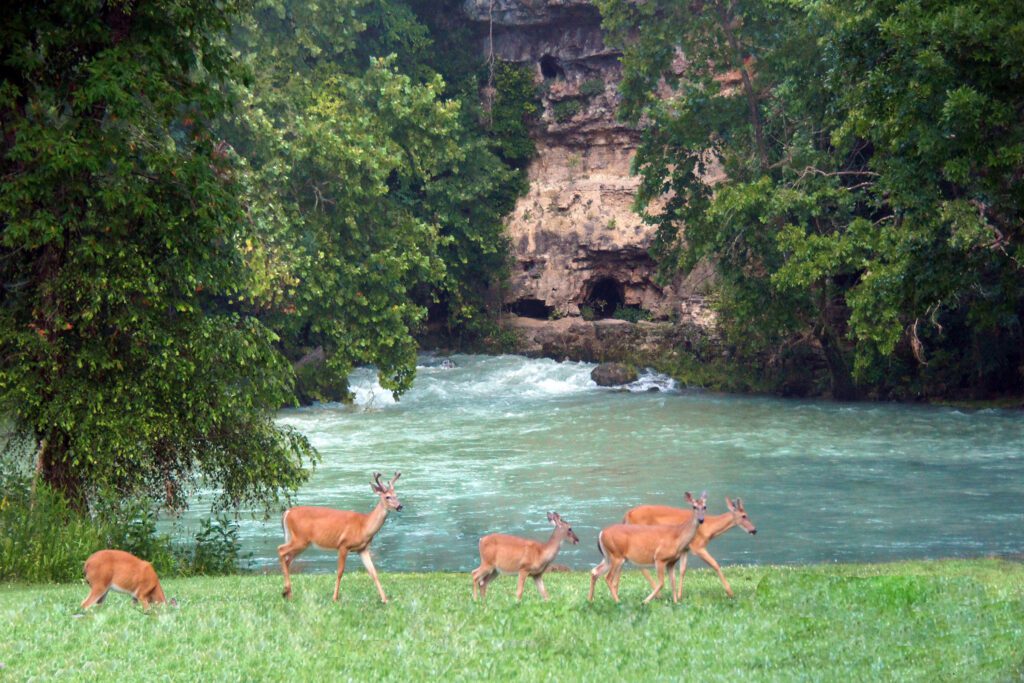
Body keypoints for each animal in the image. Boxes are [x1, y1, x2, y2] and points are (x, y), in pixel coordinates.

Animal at [282, 471, 405, 602]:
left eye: (396, 495)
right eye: (387, 497)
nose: (400, 506)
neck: (364, 526)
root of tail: (287, 512)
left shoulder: (363, 549)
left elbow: (373, 572)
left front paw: (385, 599)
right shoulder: (343, 545)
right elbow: (340, 572)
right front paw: (335, 598)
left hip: (299, 541)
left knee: (287, 559)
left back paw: (287, 593)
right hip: (300, 539)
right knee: (281, 550)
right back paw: (286, 591)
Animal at [618, 497, 757, 598]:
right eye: (744, 515)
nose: (754, 530)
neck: (709, 528)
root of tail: (627, 514)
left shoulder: (685, 549)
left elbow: (683, 570)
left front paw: (679, 596)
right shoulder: (698, 546)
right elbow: (715, 564)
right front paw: (730, 592)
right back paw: (658, 594)